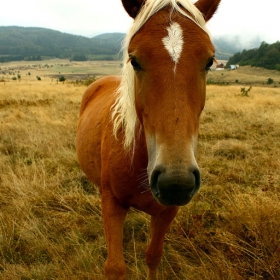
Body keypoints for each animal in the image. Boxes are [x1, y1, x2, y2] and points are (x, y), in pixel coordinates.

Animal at [76, 1, 221, 278]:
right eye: (134, 60)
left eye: (209, 61)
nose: (176, 181)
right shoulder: (112, 203)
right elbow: (115, 267)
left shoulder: (167, 211)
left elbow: (153, 256)